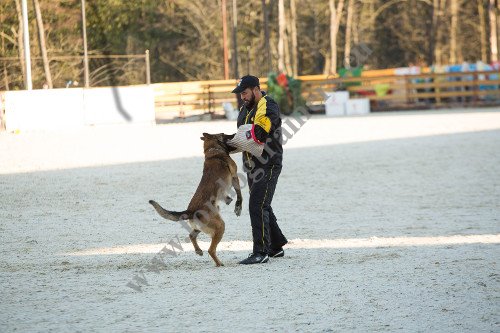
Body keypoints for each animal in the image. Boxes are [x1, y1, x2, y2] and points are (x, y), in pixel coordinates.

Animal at [148, 131, 242, 266]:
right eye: (224, 134)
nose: (235, 133)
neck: (212, 151)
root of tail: (190, 211)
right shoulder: (235, 177)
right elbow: (239, 193)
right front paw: (238, 206)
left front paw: (228, 200)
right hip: (220, 226)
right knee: (211, 250)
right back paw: (219, 263)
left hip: (201, 227)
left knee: (192, 236)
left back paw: (198, 250)